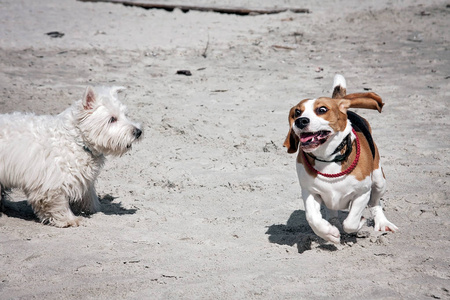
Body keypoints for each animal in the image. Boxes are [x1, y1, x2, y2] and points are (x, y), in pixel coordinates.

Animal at [0, 86, 142, 227]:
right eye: (112, 119)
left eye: (125, 115)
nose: (138, 132)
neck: (76, 139)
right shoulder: (52, 182)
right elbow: (57, 203)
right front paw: (69, 219)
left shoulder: (83, 177)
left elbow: (89, 195)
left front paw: (95, 209)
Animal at [284, 75, 398, 244]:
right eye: (297, 112)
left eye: (322, 109)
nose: (300, 121)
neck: (328, 159)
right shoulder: (310, 192)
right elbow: (313, 218)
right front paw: (329, 233)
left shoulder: (362, 193)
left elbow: (351, 222)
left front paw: (360, 222)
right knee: (332, 212)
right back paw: (333, 224)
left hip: (379, 180)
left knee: (375, 203)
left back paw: (382, 223)